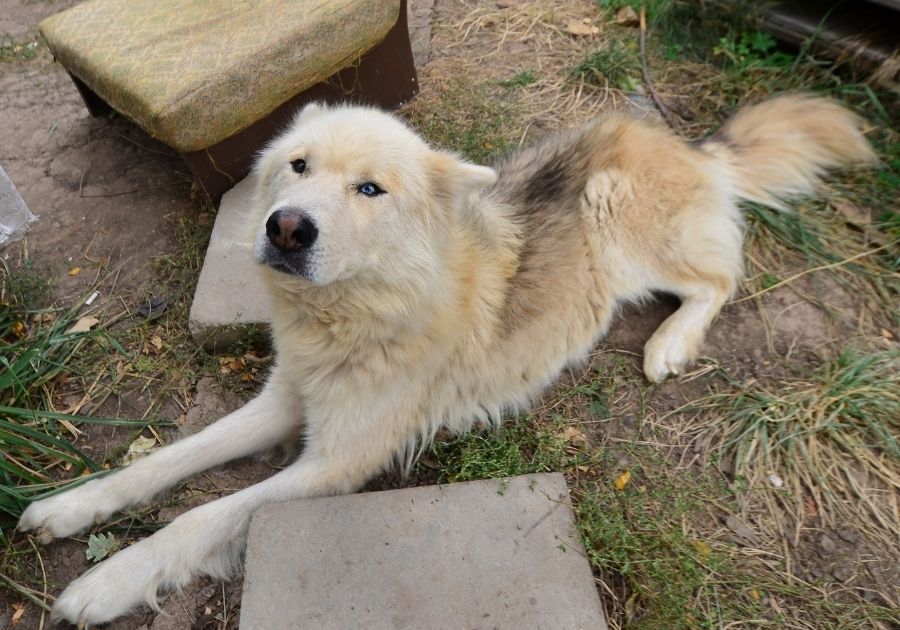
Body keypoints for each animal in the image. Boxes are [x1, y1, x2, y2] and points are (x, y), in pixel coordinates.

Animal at [17, 95, 872, 628]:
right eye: (298, 165)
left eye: (370, 190)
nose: (286, 228)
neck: (360, 311)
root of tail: (681, 140)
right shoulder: (284, 402)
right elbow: (166, 462)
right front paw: (73, 505)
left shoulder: (335, 464)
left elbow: (203, 513)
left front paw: (106, 582)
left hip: (621, 225)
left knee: (722, 276)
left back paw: (670, 343)